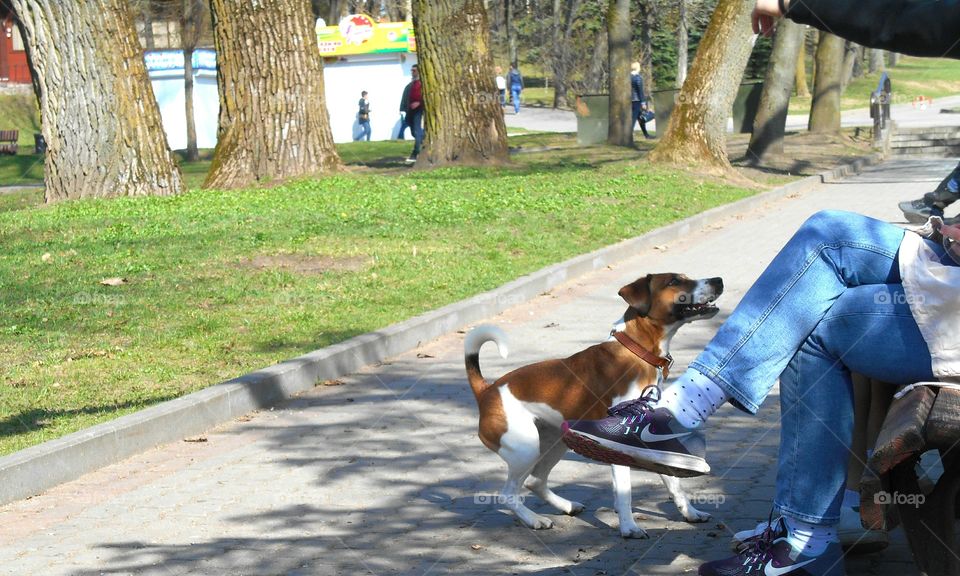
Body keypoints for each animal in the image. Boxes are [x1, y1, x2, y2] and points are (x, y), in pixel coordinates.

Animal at [464, 272, 720, 536]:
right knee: (508, 493)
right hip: (526, 450)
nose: (718, 280)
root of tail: (486, 390)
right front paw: (629, 527)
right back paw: (534, 519)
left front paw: (690, 513)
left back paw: (565, 506)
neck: (636, 351)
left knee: (536, 481)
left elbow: (674, 484)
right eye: (674, 281)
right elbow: (625, 493)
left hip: (556, 443)